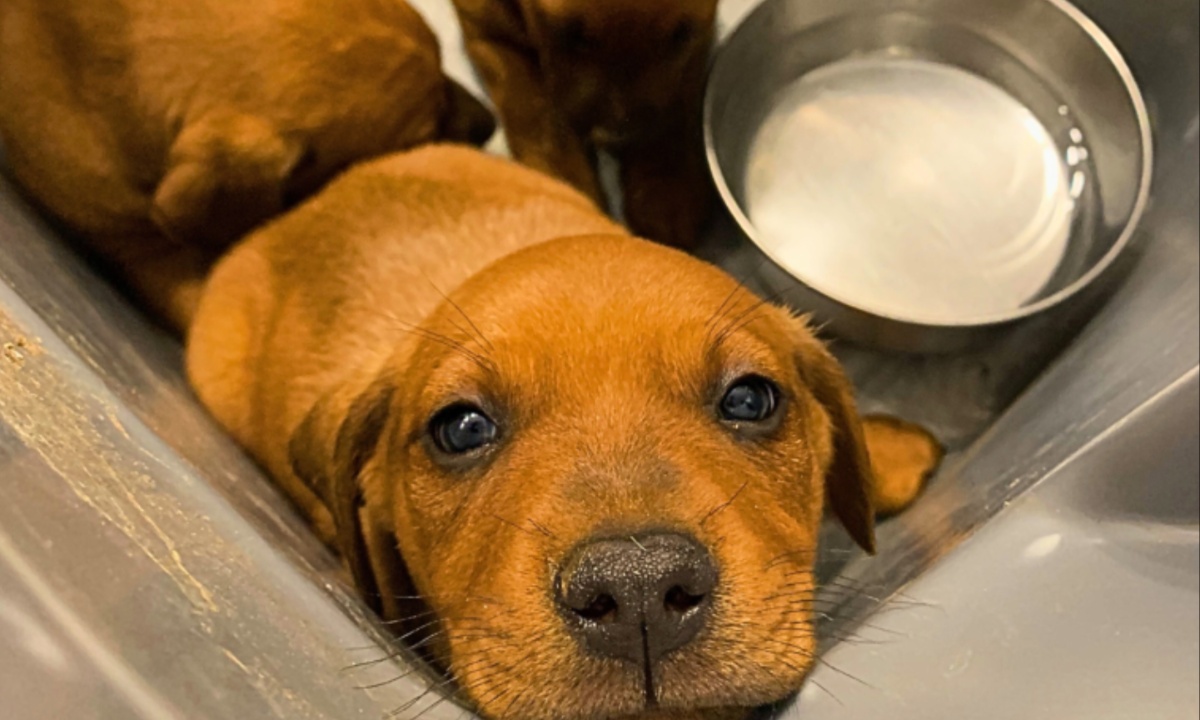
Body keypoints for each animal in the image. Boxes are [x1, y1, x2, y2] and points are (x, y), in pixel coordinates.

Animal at [448, 0, 710, 247]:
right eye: (572, 35)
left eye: (680, 35)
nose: (617, 134)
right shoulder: (486, 31)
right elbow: (534, 110)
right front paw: (565, 187)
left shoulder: (698, 37)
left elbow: (680, 102)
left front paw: (665, 185)